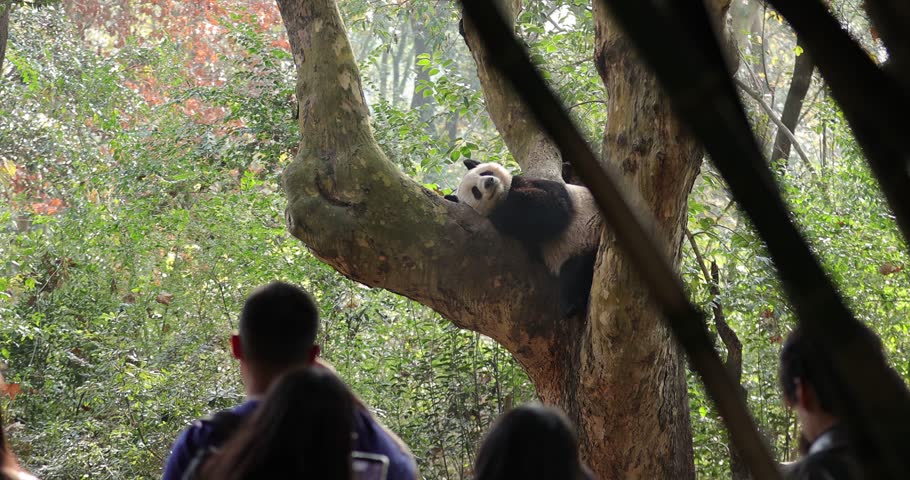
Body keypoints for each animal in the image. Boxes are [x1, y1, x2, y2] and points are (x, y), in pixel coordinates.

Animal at [445, 159, 603, 318]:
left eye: (484, 173)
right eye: (475, 191)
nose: (489, 182)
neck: (503, 194)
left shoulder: (535, 184)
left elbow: (553, 206)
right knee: (573, 271)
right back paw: (573, 305)